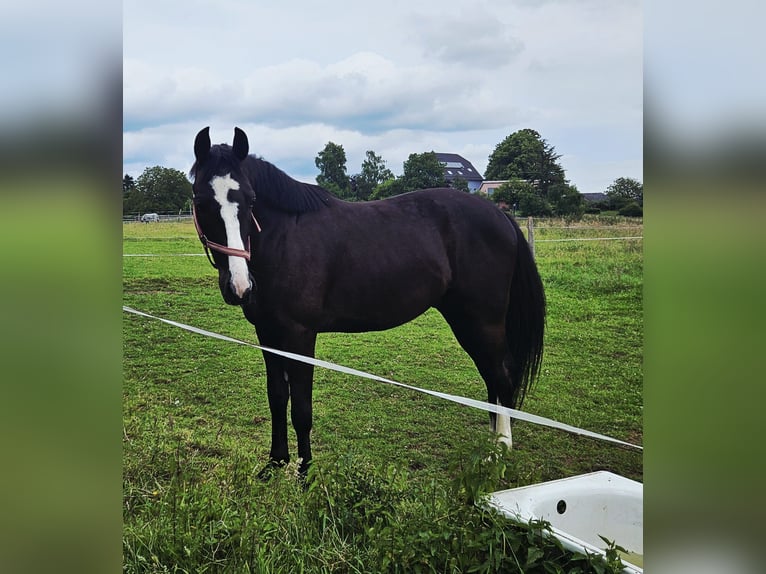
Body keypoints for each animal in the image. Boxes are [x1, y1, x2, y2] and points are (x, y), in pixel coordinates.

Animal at [190, 127, 545, 477]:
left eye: (250, 200)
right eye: (202, 200)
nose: (239, 285)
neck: (285, 237)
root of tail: (500, 216)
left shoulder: (300, 335)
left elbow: (301, 408)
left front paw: (305, 473)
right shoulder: (267, 333)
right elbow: (277, 398)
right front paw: (276, 463)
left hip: (482, 321)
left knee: (500, 375)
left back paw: (499, 450)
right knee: (492, 377)